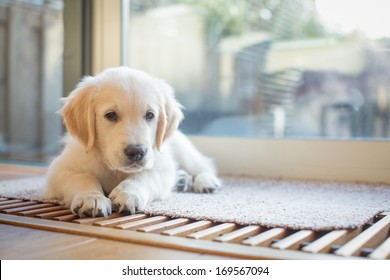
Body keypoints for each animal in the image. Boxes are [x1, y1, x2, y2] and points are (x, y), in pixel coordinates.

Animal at [45, 67, 221, 217]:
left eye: (150, 115)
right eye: (110, 115)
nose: (136, 152)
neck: (113, 169)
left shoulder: (160, 166)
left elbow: (143, 176)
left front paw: (128, 194)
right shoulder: (59, 170)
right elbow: (82, 177)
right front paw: (91, 197)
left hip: (184, 151)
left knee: (204, 165)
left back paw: (206, 181)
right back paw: (183, 180)